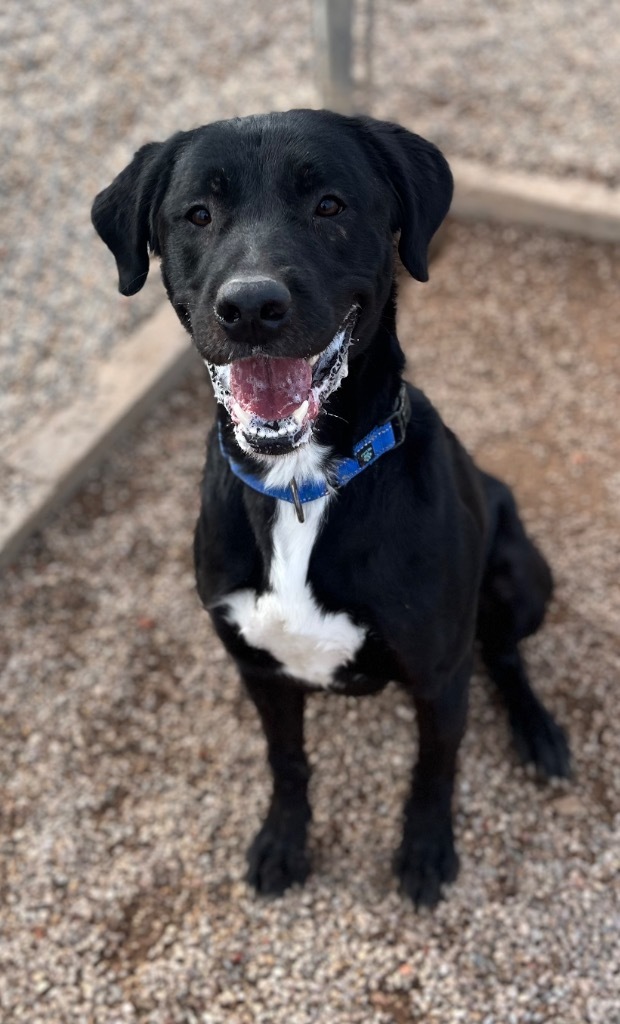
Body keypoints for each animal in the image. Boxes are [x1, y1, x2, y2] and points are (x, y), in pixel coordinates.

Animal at [89, 110, 569, 905]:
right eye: (198, 213)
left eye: (330, 205)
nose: (252, 307)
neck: (299, 485)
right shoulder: (258, 668)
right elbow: (287, 762)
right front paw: (284, 841)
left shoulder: (439, 675)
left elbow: (434, 769)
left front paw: (426, 850)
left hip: (522, 576)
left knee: (503, 653)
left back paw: (538, 732)